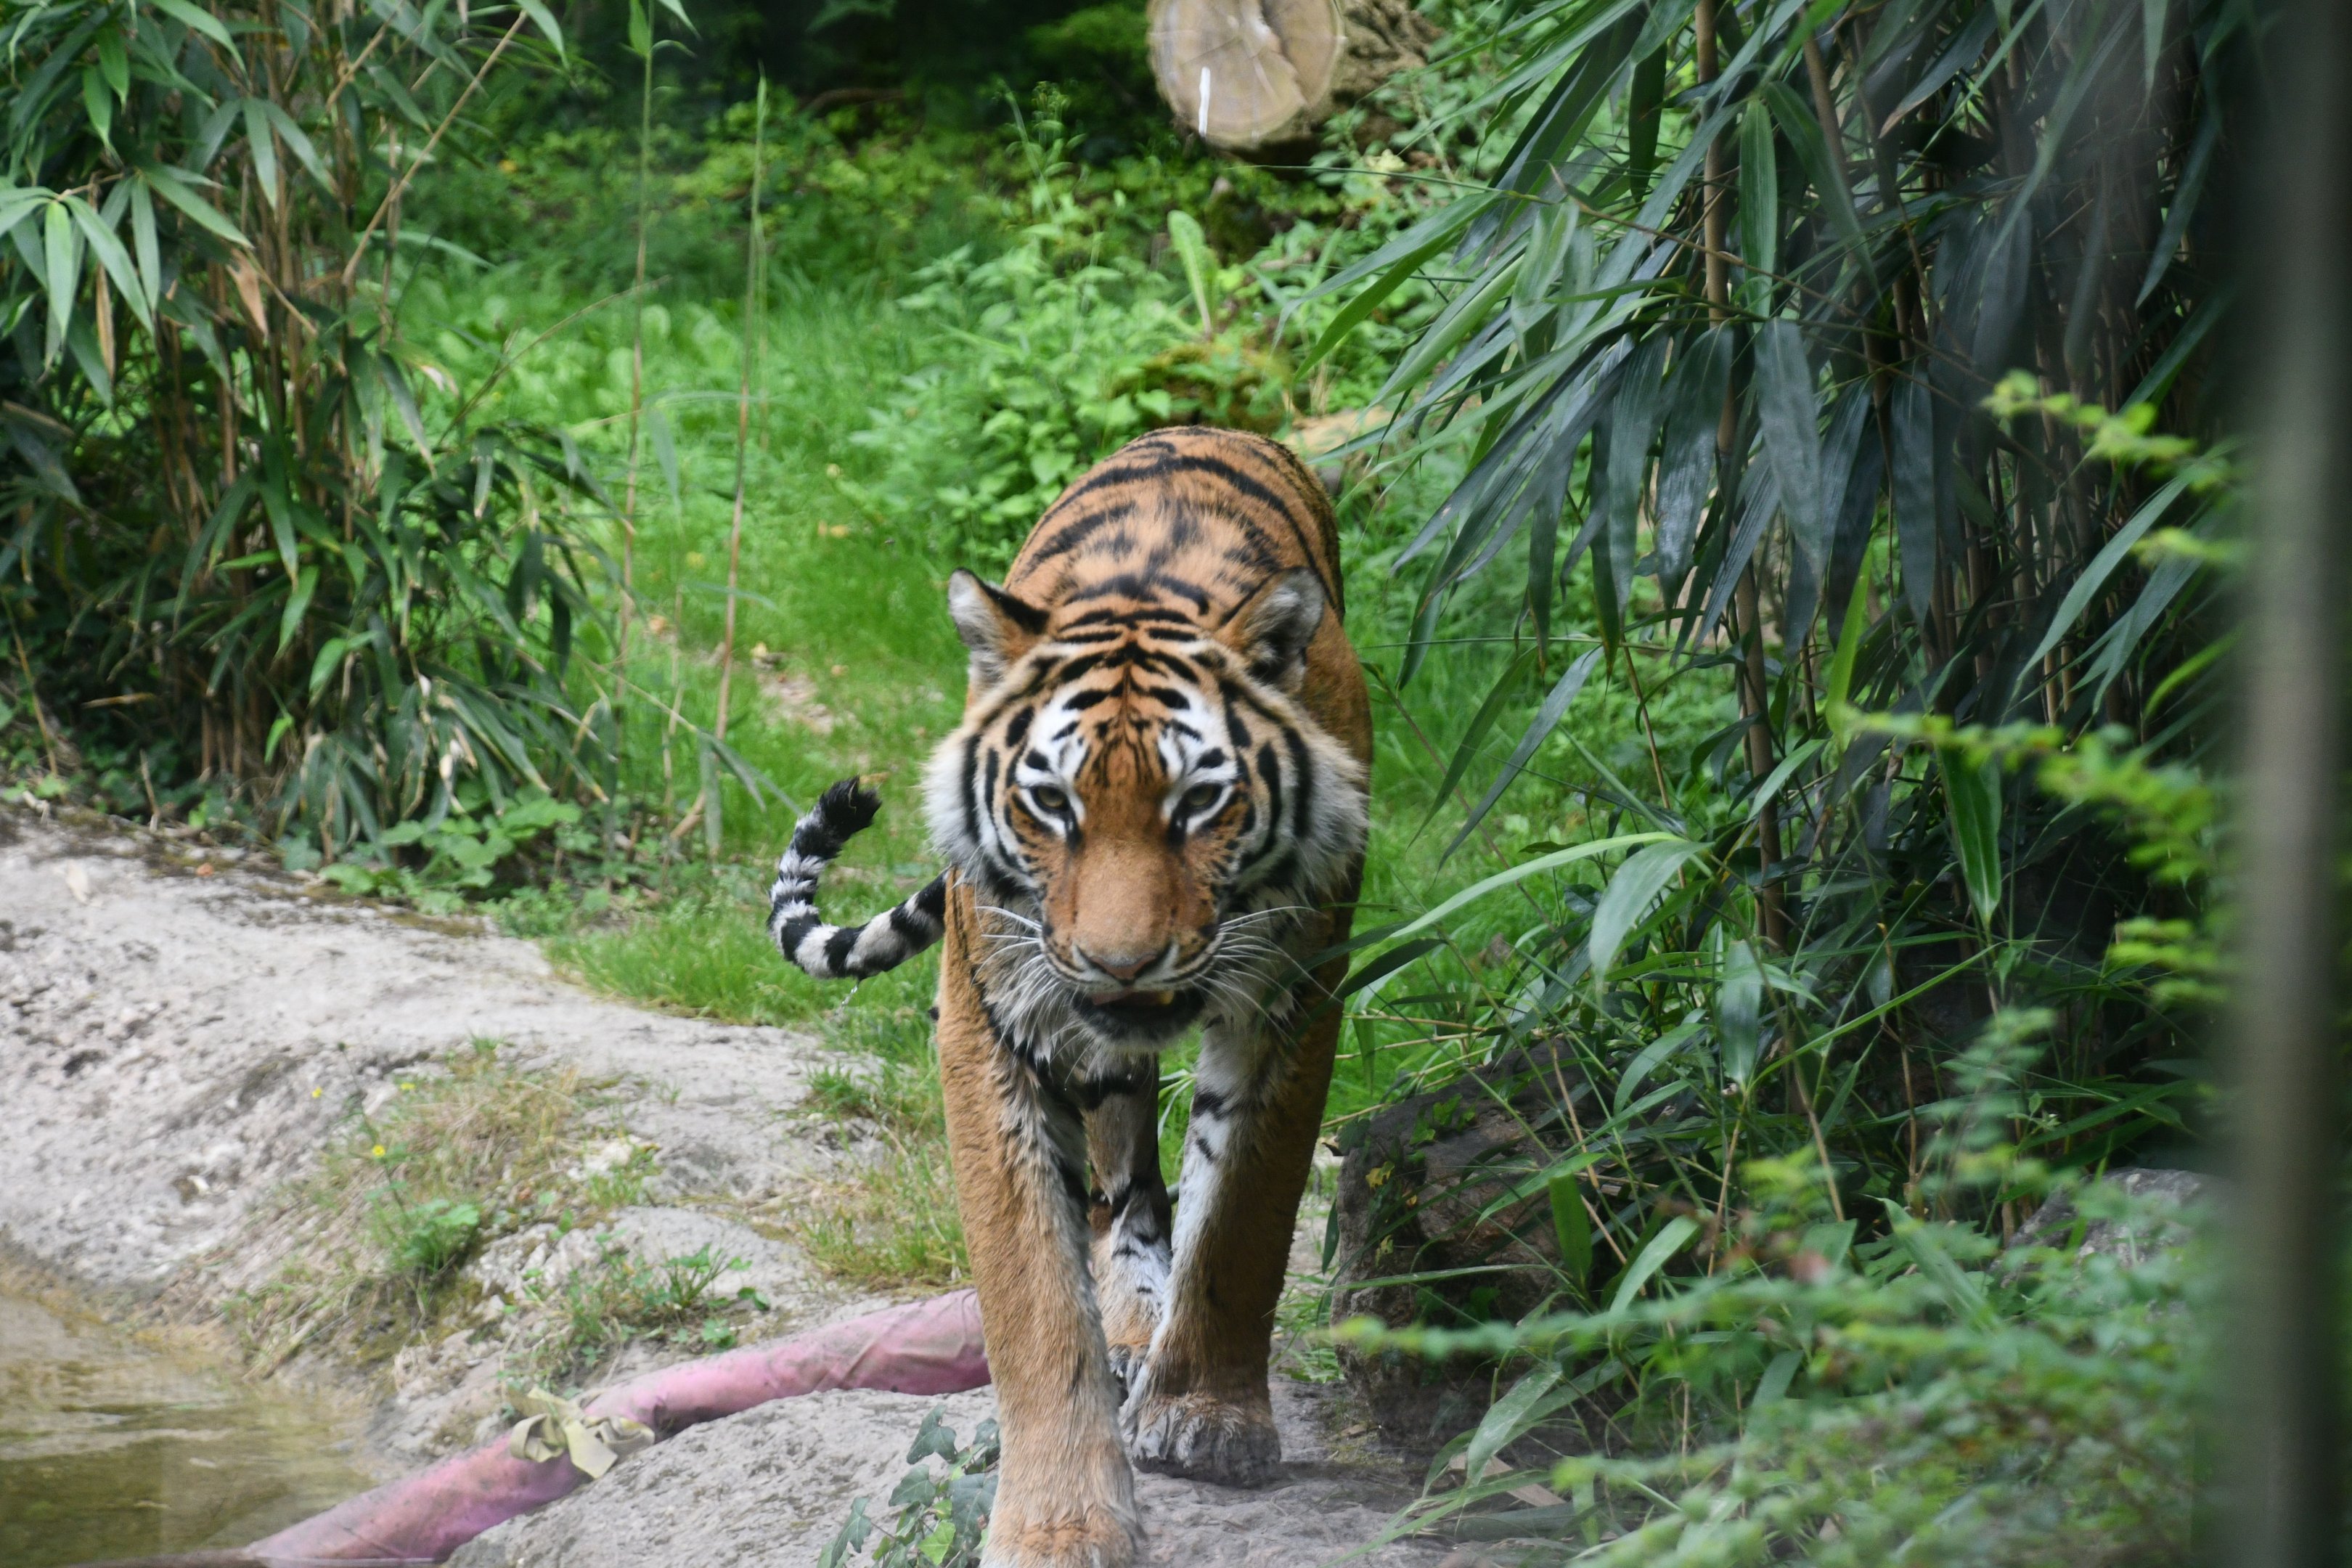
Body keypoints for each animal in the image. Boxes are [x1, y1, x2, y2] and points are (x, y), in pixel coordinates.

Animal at [767, 426, 1371, 1566]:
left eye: (1202, 801)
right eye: (1051, 803)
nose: (1120, 962)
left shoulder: (1294, 1001)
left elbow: (1245, 1219)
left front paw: (1207, 1418)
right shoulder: (992, 1023)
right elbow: (1032, 1296)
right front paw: (1058, 1526)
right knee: (1121, 1181)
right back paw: (1130, 1323)